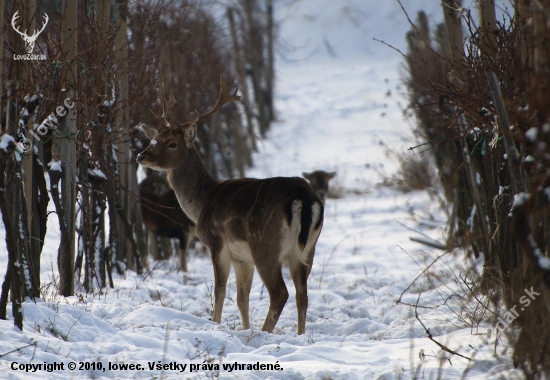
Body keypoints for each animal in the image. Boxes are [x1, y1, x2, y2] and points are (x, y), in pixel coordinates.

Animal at [138, 75, 326, 334]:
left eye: (172, 143)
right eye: (154, 139)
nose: (141, 156)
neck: (202, 203)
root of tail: (304, 199)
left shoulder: (216, 242)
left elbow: (220, 291)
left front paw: (216, 323)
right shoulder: (242, 258)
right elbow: (241, 297)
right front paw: (244, 329)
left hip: (265, 245)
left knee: (280, 293)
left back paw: (264, 333)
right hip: (307, 250)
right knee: (302, 294)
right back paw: (299, 335)